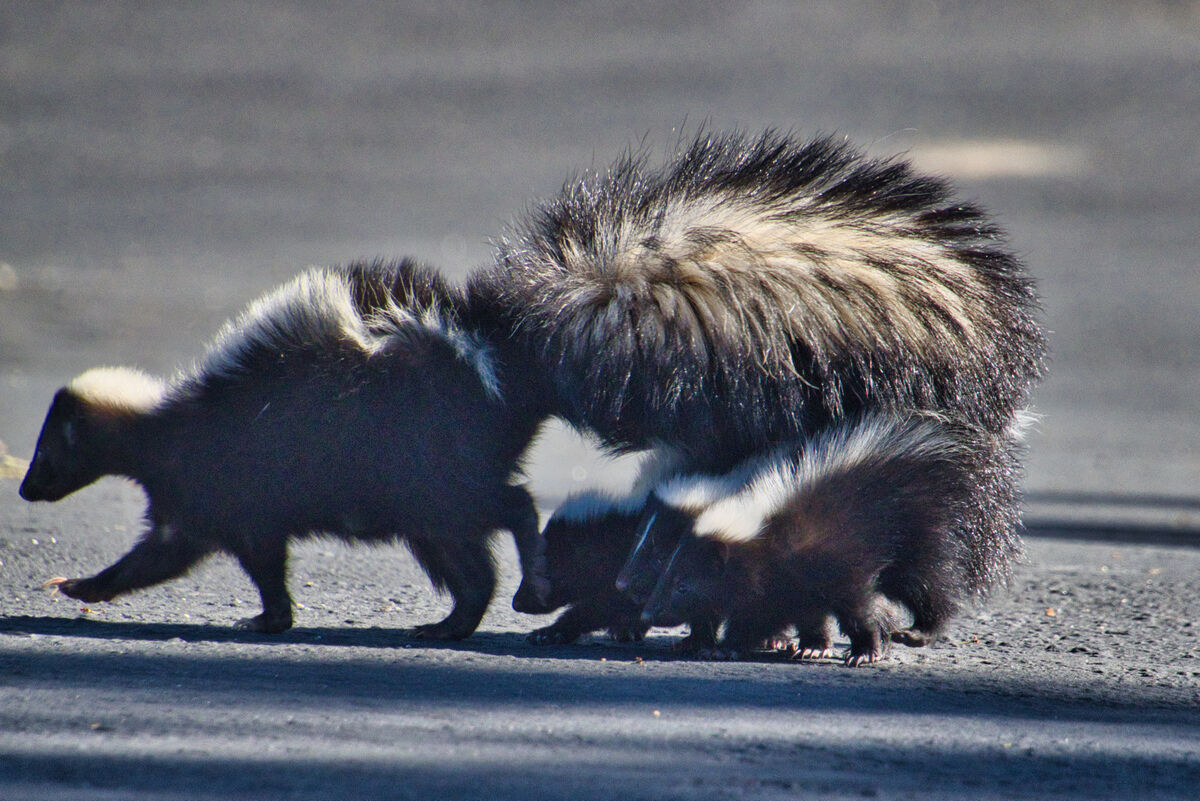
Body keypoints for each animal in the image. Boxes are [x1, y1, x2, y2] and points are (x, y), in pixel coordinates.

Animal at [18, 260, 542, 642]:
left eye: (44, 452)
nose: (24, 489)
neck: (160, 430)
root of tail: (478, 368)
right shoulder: (200, 506)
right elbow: (163, 555)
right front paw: (82, 585)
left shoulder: (223, 490)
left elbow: (247, 559)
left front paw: (266, 619)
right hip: (425, 500)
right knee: (472, 568)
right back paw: (450, 624)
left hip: (430, 475)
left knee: (511, 505)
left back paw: (523, 583)